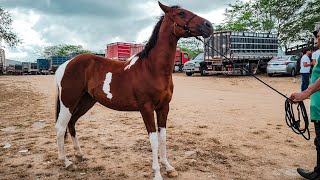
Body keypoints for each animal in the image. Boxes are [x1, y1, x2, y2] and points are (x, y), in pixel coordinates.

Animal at [55, 2, 212, 179]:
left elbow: (163, 137)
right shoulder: (146, 109)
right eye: (181, 13)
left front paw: (168, 167)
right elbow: (153, 140)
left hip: (86, 101)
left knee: (72, 122)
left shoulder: (164, 107)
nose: (209, 25)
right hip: (68, 101)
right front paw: (157, 172)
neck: (151, 68)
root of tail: (66, 64)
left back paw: (79, 154)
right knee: (60, 127)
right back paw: (66, 162)